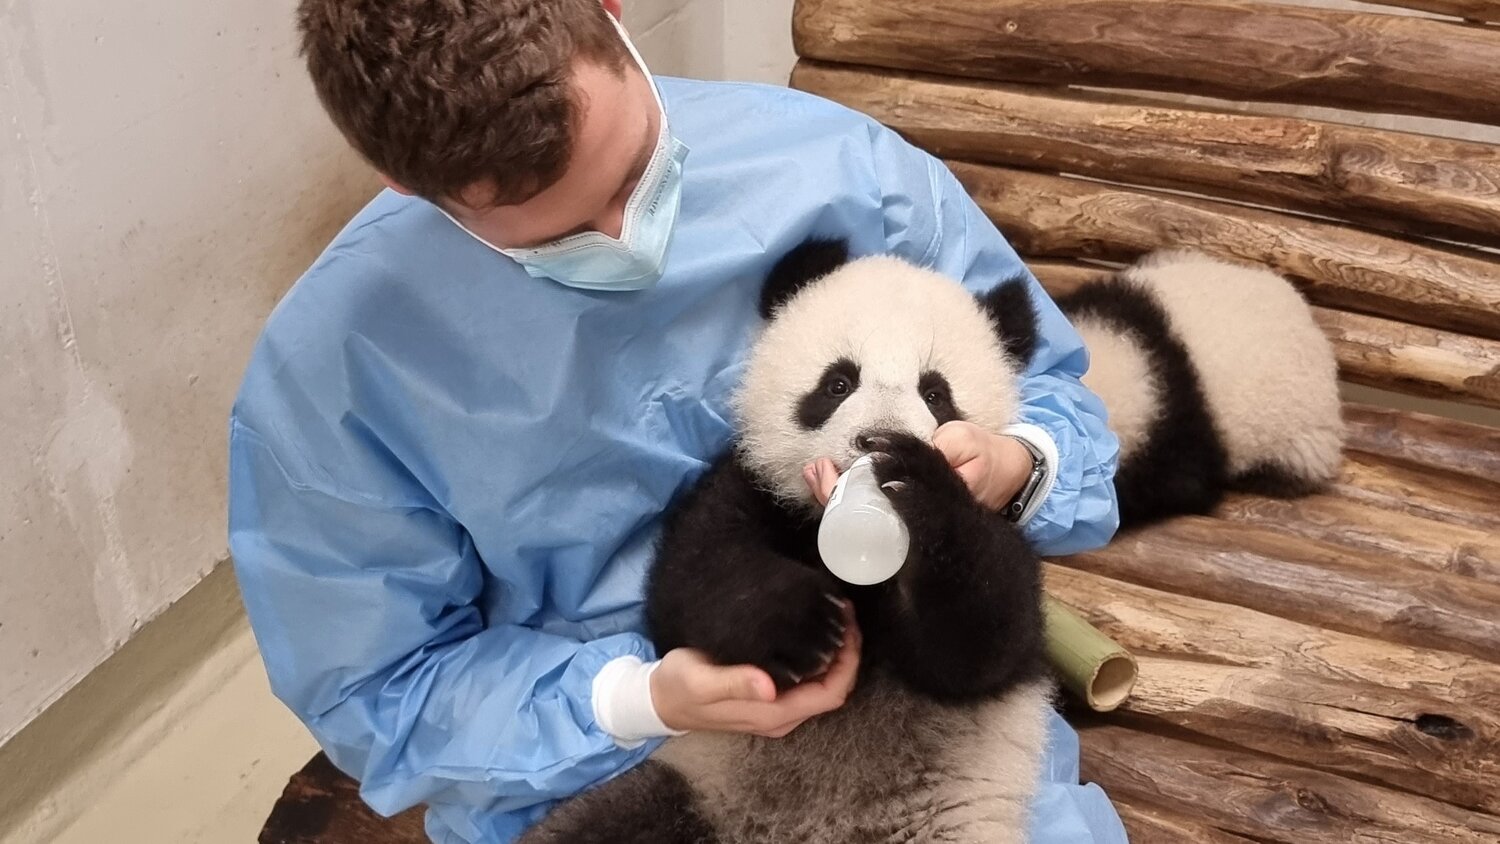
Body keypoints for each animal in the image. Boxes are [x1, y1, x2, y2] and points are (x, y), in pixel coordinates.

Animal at [520, 239, 1343, 844]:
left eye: (936, 392)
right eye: (837, 381)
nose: (874, 442)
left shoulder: (1009, 546)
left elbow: (981, 643)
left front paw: (921, 487)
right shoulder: (750, 491)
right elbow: (694, 587)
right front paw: (801, 627)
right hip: (694, 785)